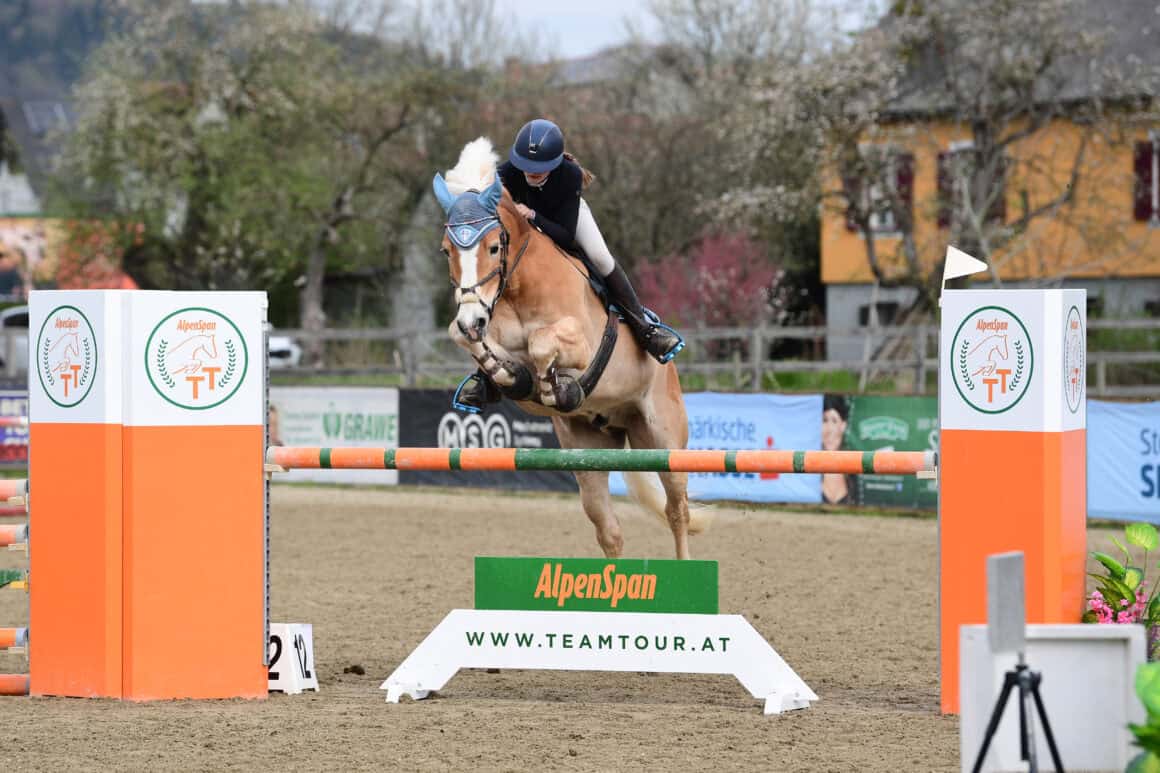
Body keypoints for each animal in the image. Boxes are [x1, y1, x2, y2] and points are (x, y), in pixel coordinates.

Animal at [432, 138, 710, 559]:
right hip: (587, 449)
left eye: (494, 248)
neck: (517, 288)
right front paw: (506, 377)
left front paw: (554, 386)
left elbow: (542, 342)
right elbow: (464, 338)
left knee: (677, 511)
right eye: (447, 251)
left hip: (664, 439)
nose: (472, 318)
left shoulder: (581, 344)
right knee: (609, 529)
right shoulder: (480, 326)